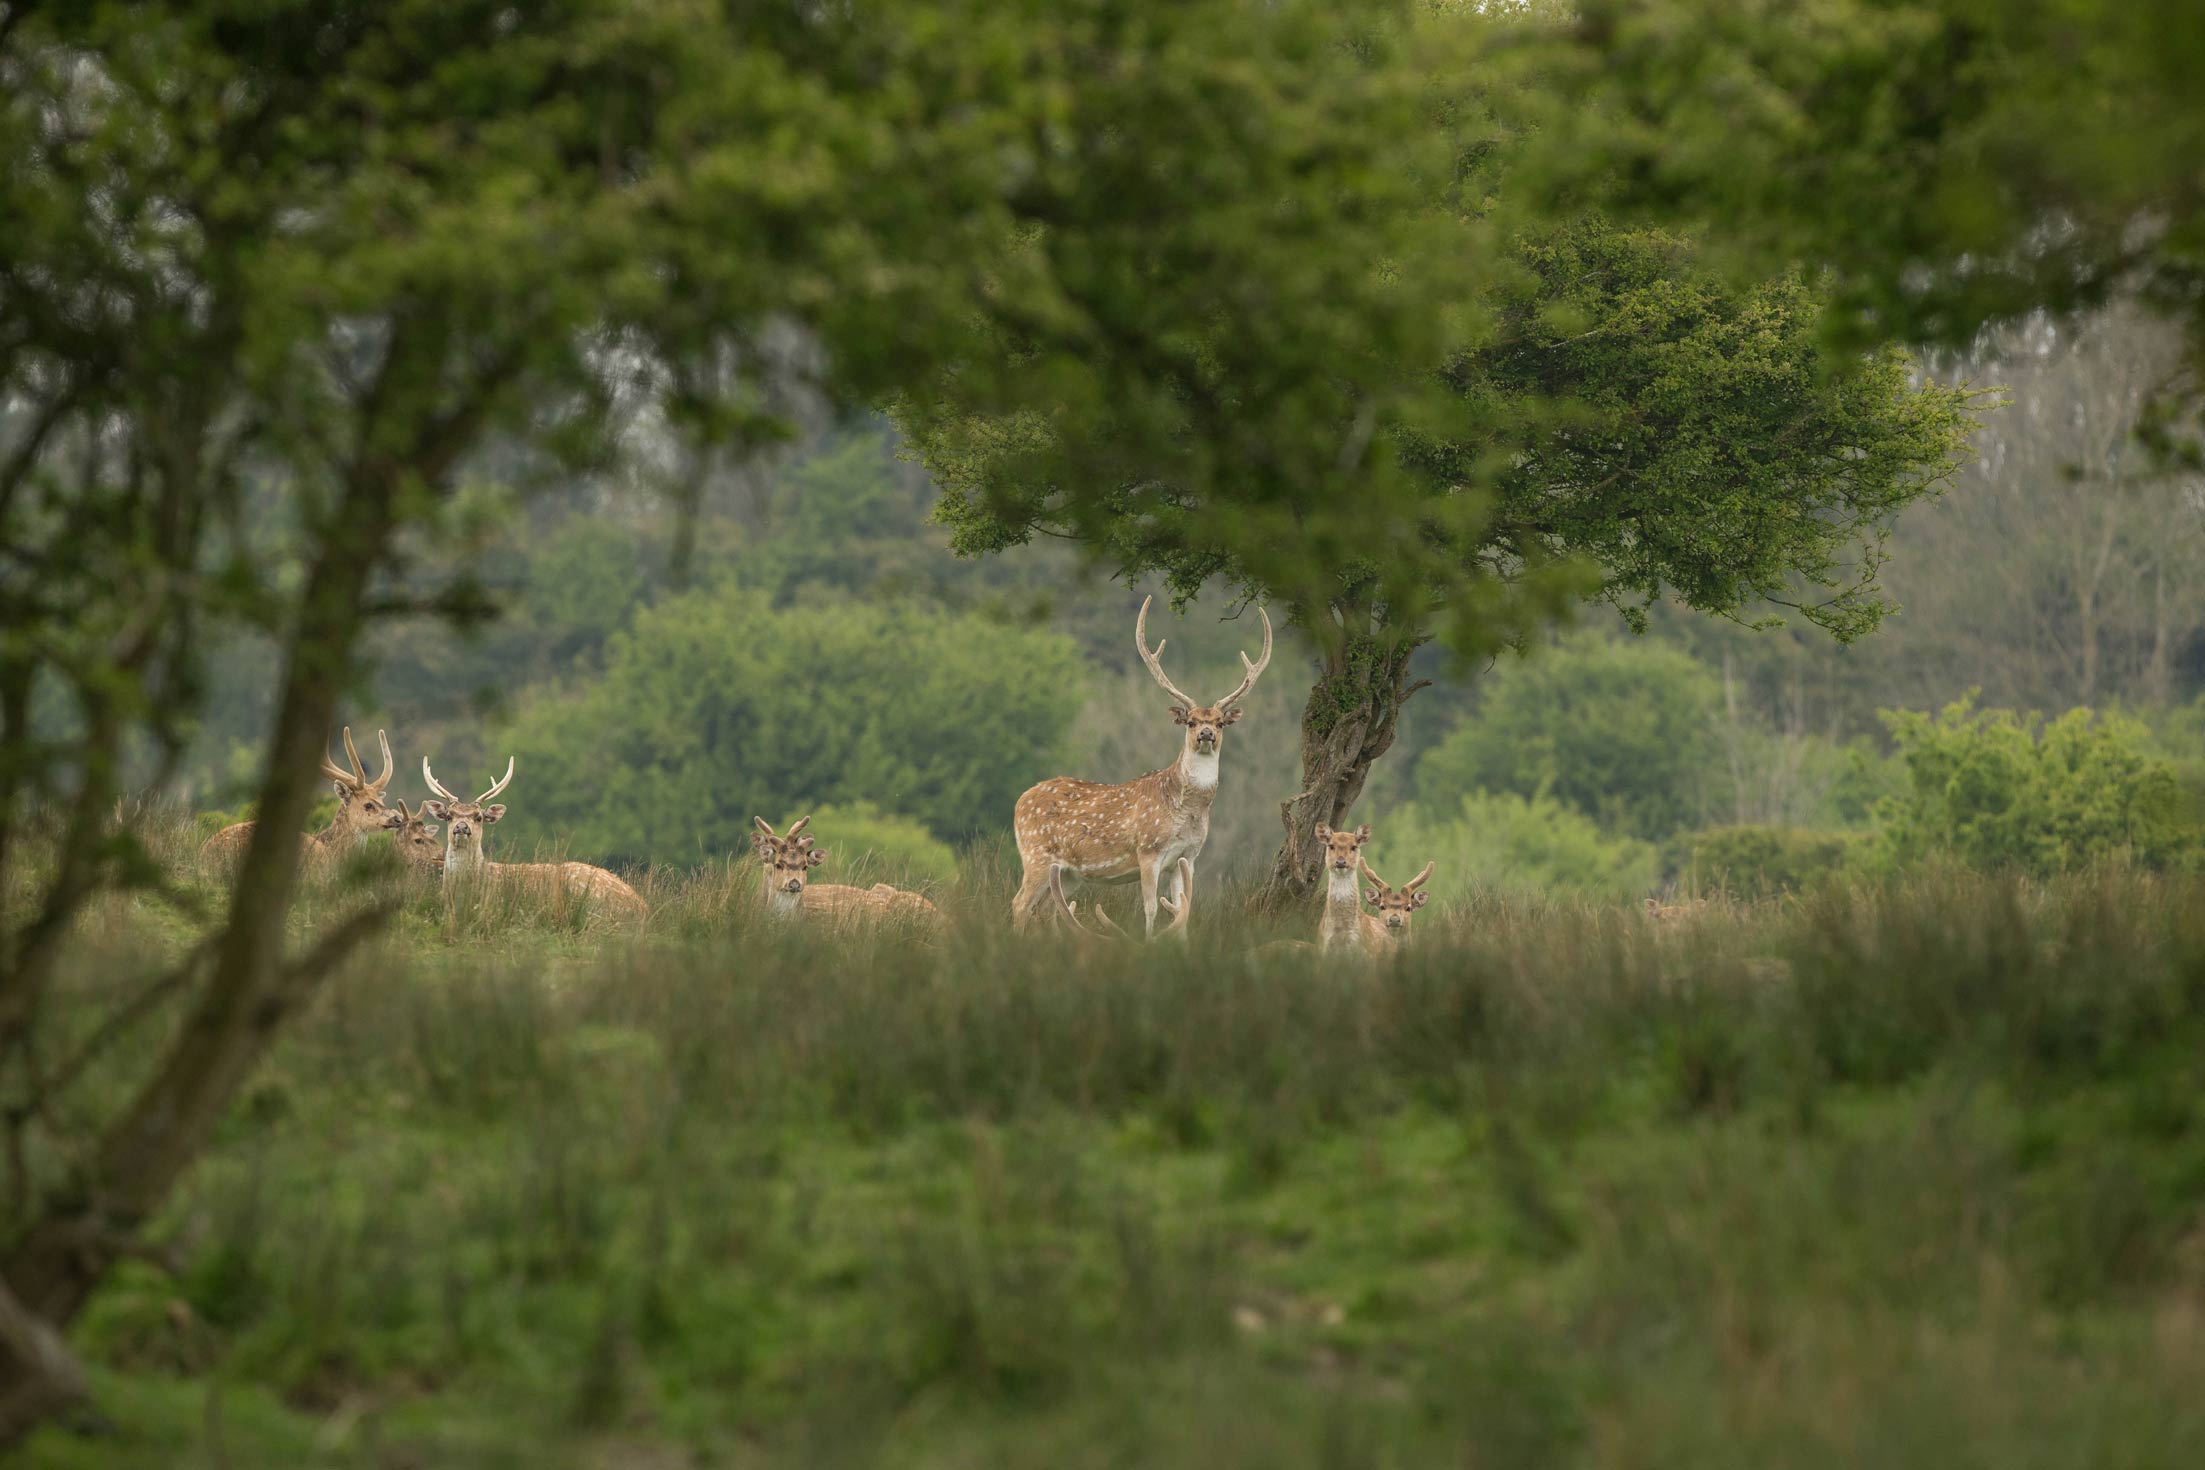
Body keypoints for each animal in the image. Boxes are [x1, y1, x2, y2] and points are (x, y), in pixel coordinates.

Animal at [1010, 597, 1272, 934]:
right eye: (1190, 721)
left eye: (1220, 722)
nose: (1206, 734)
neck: (1186, 810)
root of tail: (1020, 800)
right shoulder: (1148, 851)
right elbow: (1151, 909)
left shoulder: (1187, 856)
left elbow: (1182, 909)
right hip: (1036, 854)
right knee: (1019, 903)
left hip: (1068, 873)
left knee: (1047, 908)